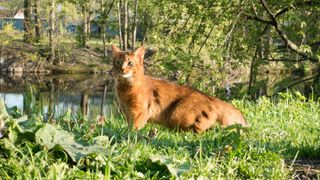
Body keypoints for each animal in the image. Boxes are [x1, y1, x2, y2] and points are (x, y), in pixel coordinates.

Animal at [110, 45, 248, 132]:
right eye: (117, 62)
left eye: (130, 63)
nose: (122, 69)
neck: (125, 89)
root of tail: (213, 99)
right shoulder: (127, 111)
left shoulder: (140, 111)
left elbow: (134, 128)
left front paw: (129, 134)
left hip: (177, 114)